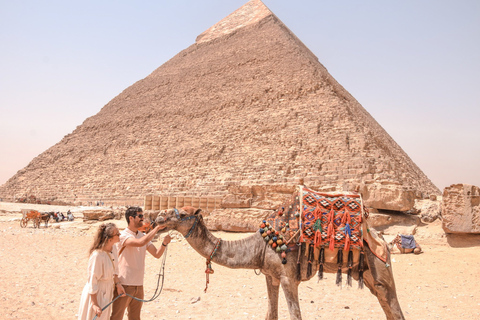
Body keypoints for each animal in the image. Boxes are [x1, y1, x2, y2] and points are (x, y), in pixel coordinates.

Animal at [157, 206, 404, 318]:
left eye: (181, 214)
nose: (158, 217)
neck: (260, 246)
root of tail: (382, 239)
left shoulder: (288, 278)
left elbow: (295, 315)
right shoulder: (270, 276)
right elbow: (271, 314)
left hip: (380, 268)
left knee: (394, 307)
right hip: (369, 277)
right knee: (385, 305)